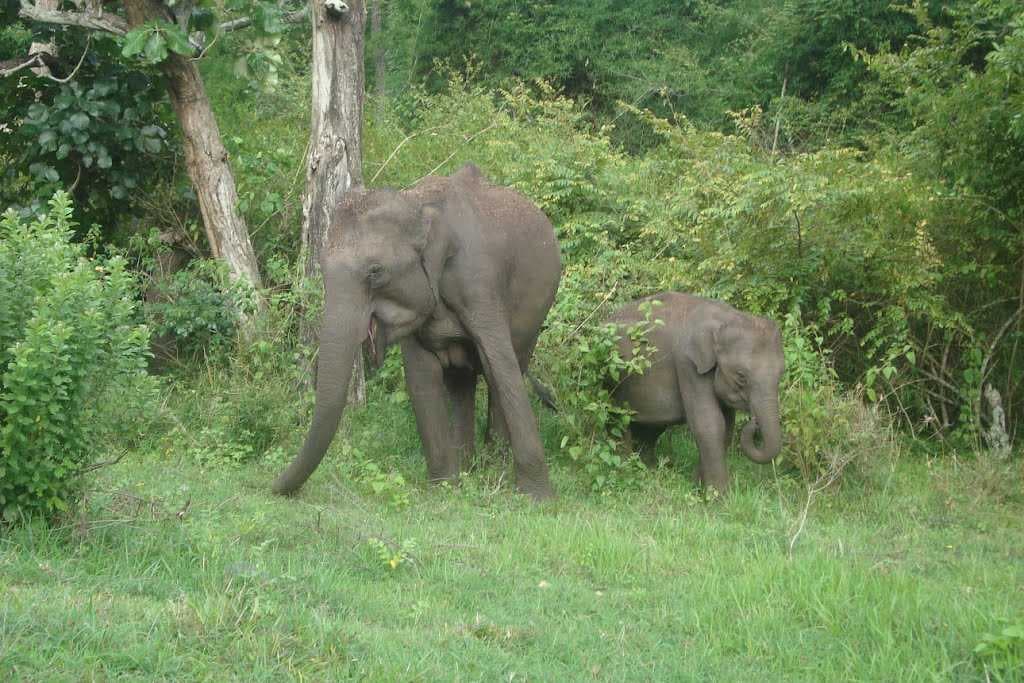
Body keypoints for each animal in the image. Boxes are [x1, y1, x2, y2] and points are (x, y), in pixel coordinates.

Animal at [272, 163, 560, 500]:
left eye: (376, 271)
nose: (273, 486)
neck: (416, 203)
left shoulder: (480, 283)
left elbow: (502, 369)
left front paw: (537, 498)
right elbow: (421, 377)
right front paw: (444, 488)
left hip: (538, 309)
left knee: (510, 365)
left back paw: (494, 465)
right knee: (461, 382)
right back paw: (470, 467)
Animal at [607, 292, 784, 493]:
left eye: (781, 374)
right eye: (741, 376)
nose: (753, 421)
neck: (723, 319)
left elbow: (727, 425)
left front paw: (700, 489)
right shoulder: (688, 364)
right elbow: (709, 422)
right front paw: (719, 496)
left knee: (651, 428)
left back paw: (648, 470)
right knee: (617, 423)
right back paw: (624, 471)